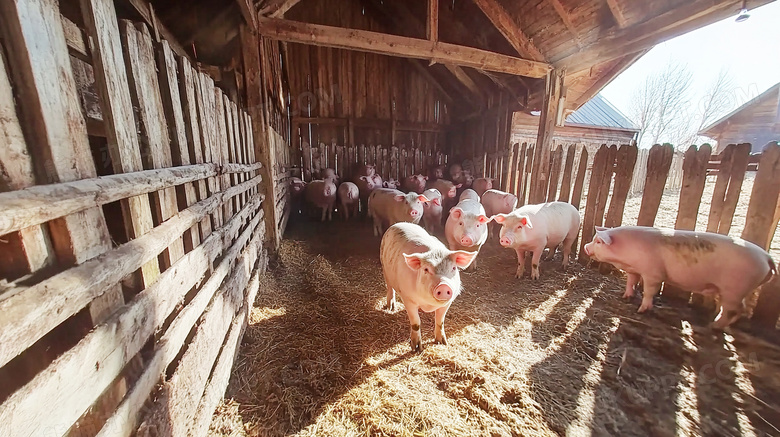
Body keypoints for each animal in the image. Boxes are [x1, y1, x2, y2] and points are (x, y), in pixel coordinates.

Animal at [380, 221, 478, 350]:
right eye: (426, 269)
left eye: (453, 268)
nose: (443, 285)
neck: (428, 305)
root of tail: (398, 224)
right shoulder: (408, 299)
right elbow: (416, 323)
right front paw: (416, 348)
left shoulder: (448, 302)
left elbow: (440, 321)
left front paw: (442, 342)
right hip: (384, 266)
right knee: (390, 287)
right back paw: (391, 307)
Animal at [580, 227, 776, 326]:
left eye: (598, 242)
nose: (585, 247)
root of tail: (767, 257)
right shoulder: (634, 269)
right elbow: (631, 282)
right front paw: (625, 297)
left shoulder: (654, 273)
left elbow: (649, 291)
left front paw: (641, 310)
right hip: (735, 291)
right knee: (739, 309)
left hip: (734, 289)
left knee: (733, 309)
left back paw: (713, 326)